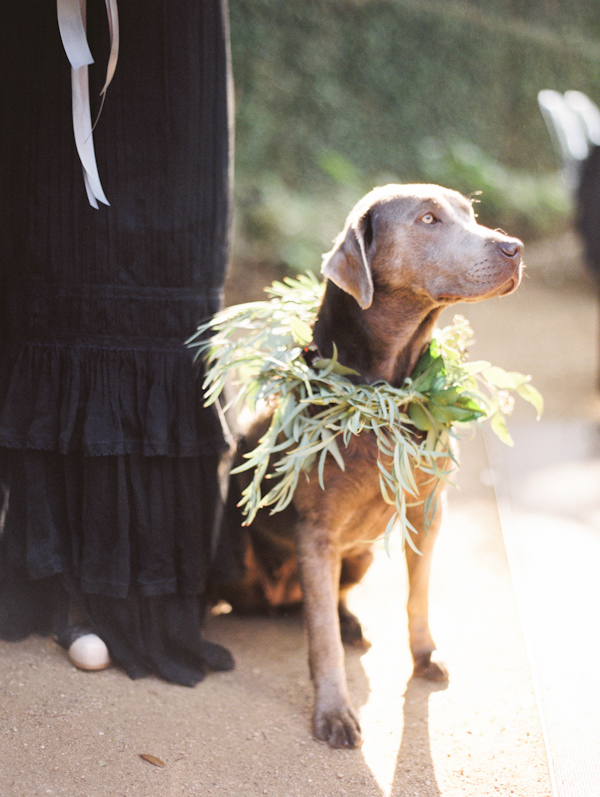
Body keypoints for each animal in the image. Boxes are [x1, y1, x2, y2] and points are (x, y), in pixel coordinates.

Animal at [218, 185, 524, 748]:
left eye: (470, 213)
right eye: (428, 219)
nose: (514, 247)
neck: (385, 391)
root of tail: (273, 599)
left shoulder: (428, 509)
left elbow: (417, 594)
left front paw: (425, 656)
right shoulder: (315, 531)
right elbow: (320, 641)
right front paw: (334, 713)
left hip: (357, 555)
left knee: (323, 601)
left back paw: (347, 621)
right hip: (232, 553)